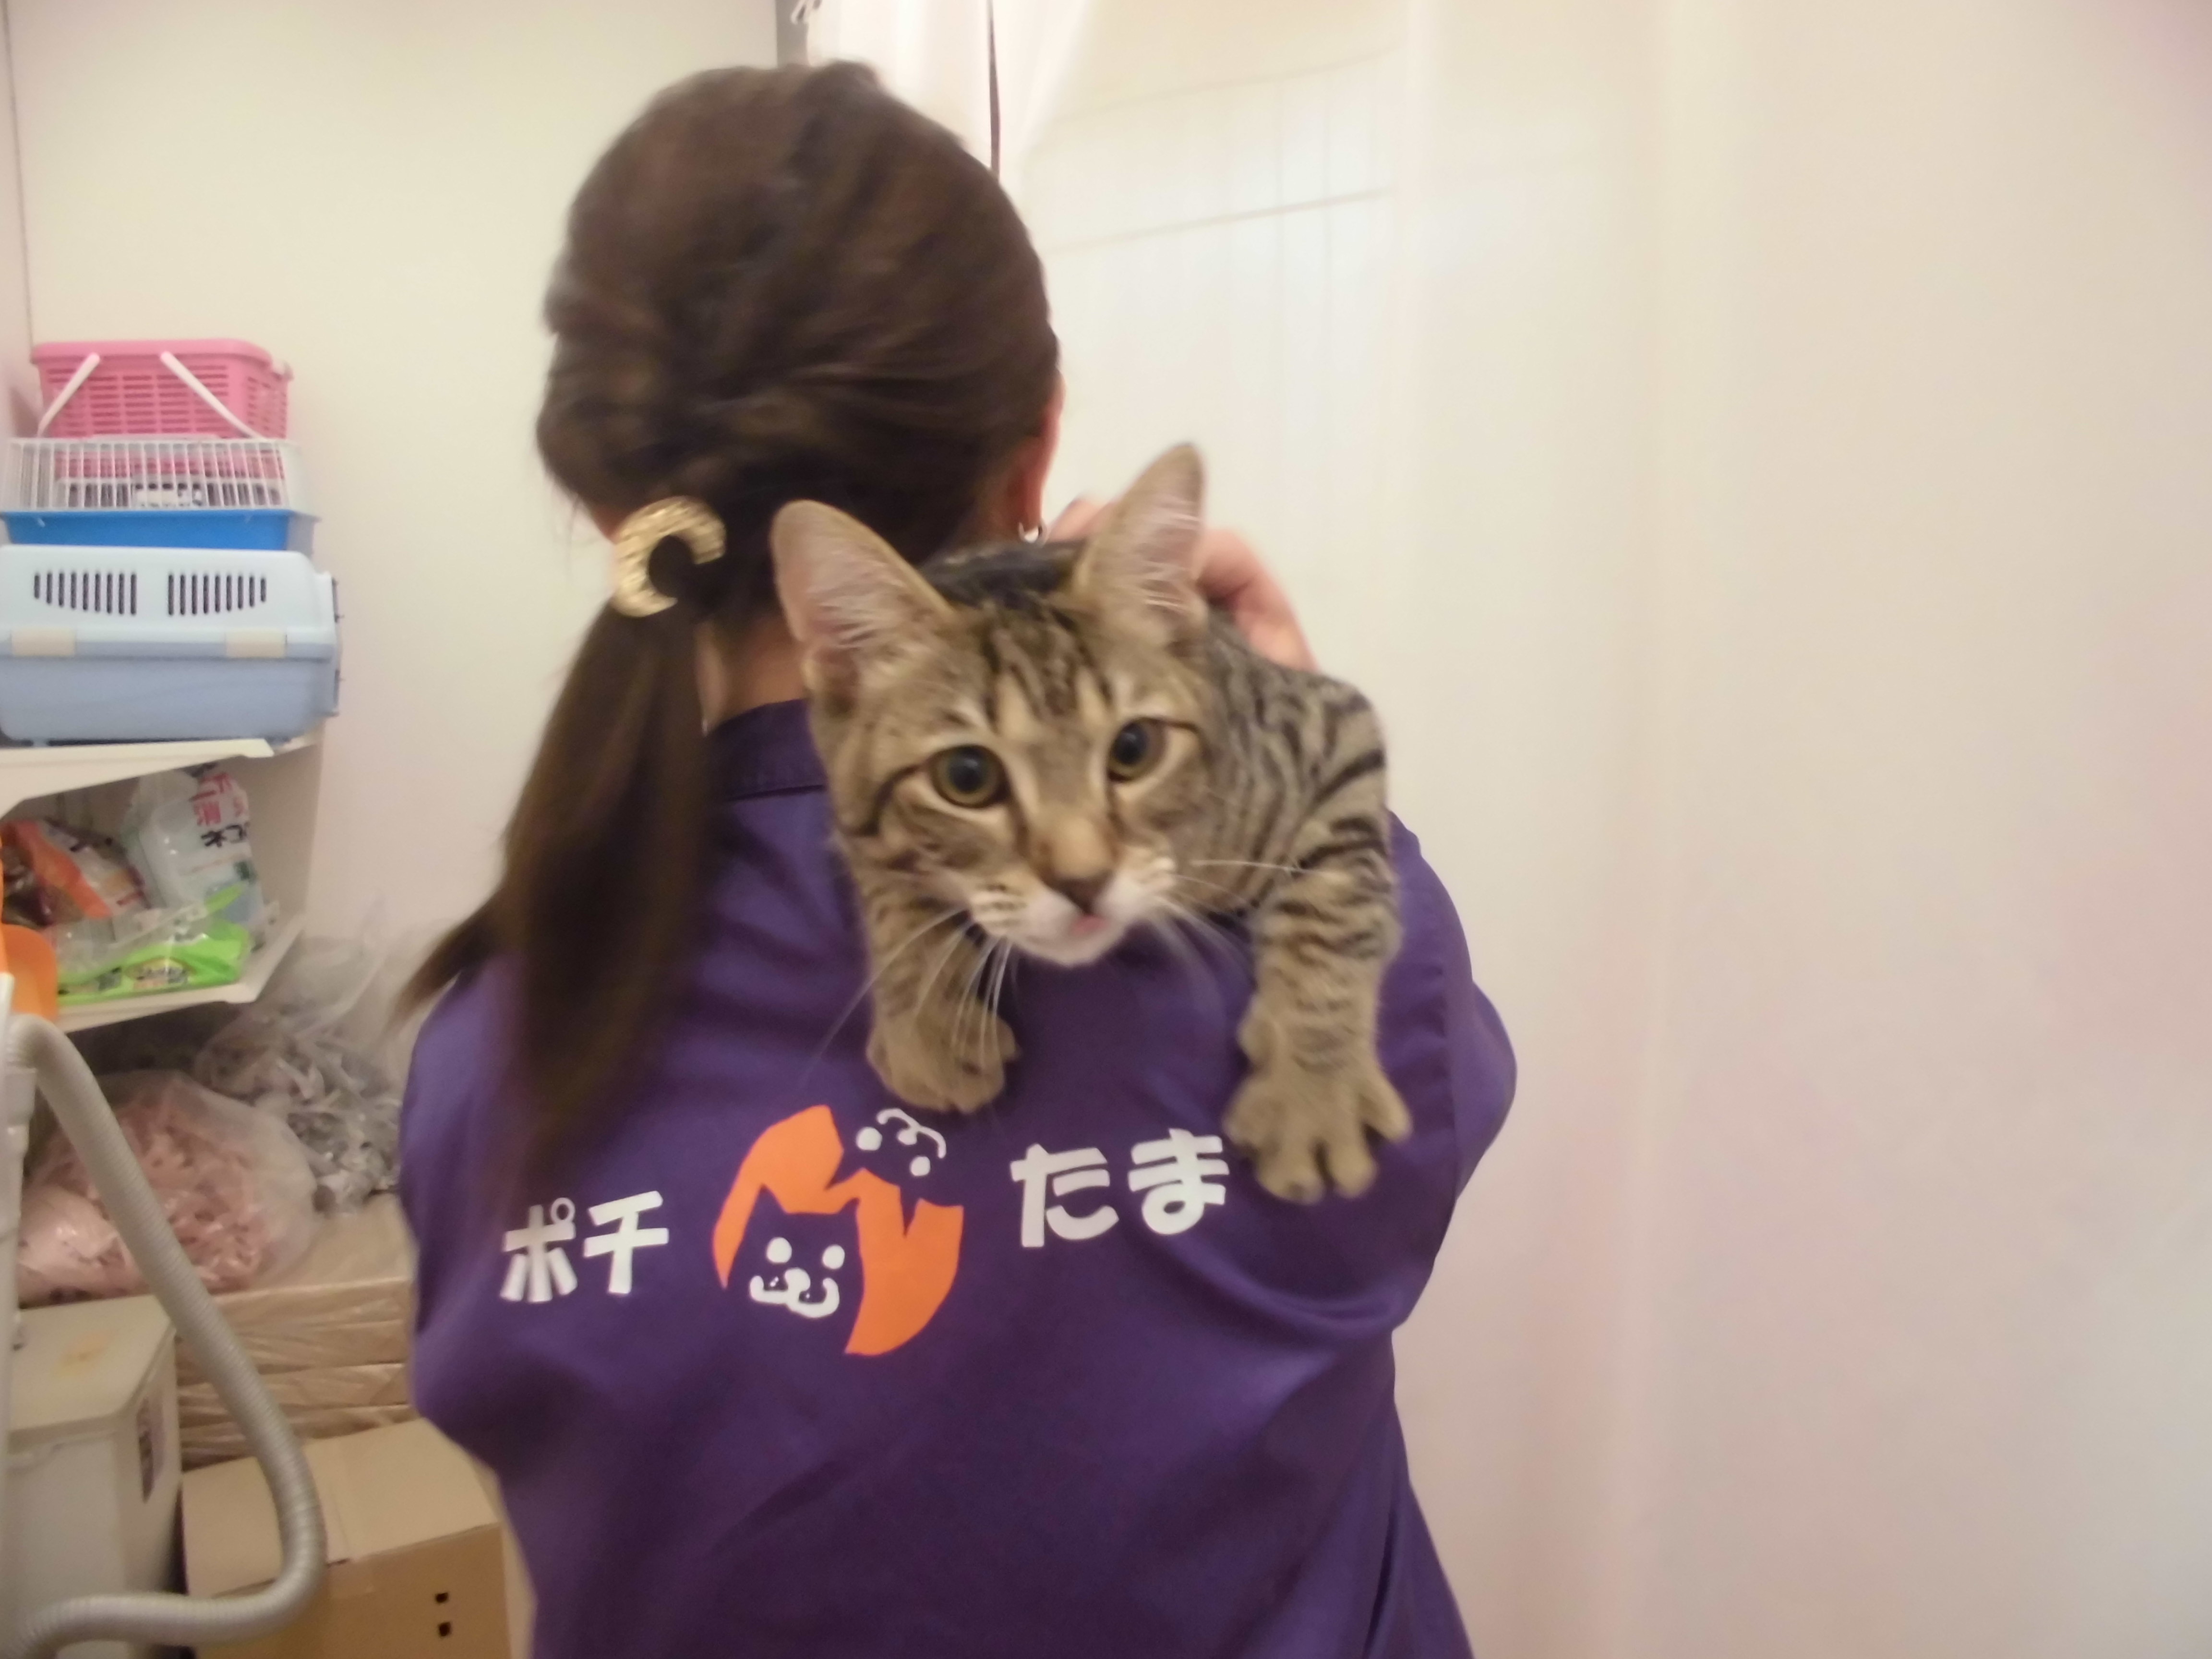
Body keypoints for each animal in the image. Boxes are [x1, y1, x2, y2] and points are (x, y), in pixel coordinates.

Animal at [770, 444, 1407, 1201]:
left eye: (1134, 749)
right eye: (966, 778)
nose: (1084, 881)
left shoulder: (1335, 726)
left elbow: (1336, 906)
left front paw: (1313, 1091)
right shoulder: (845, 809)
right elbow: (887, 882)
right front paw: (924, 1020)